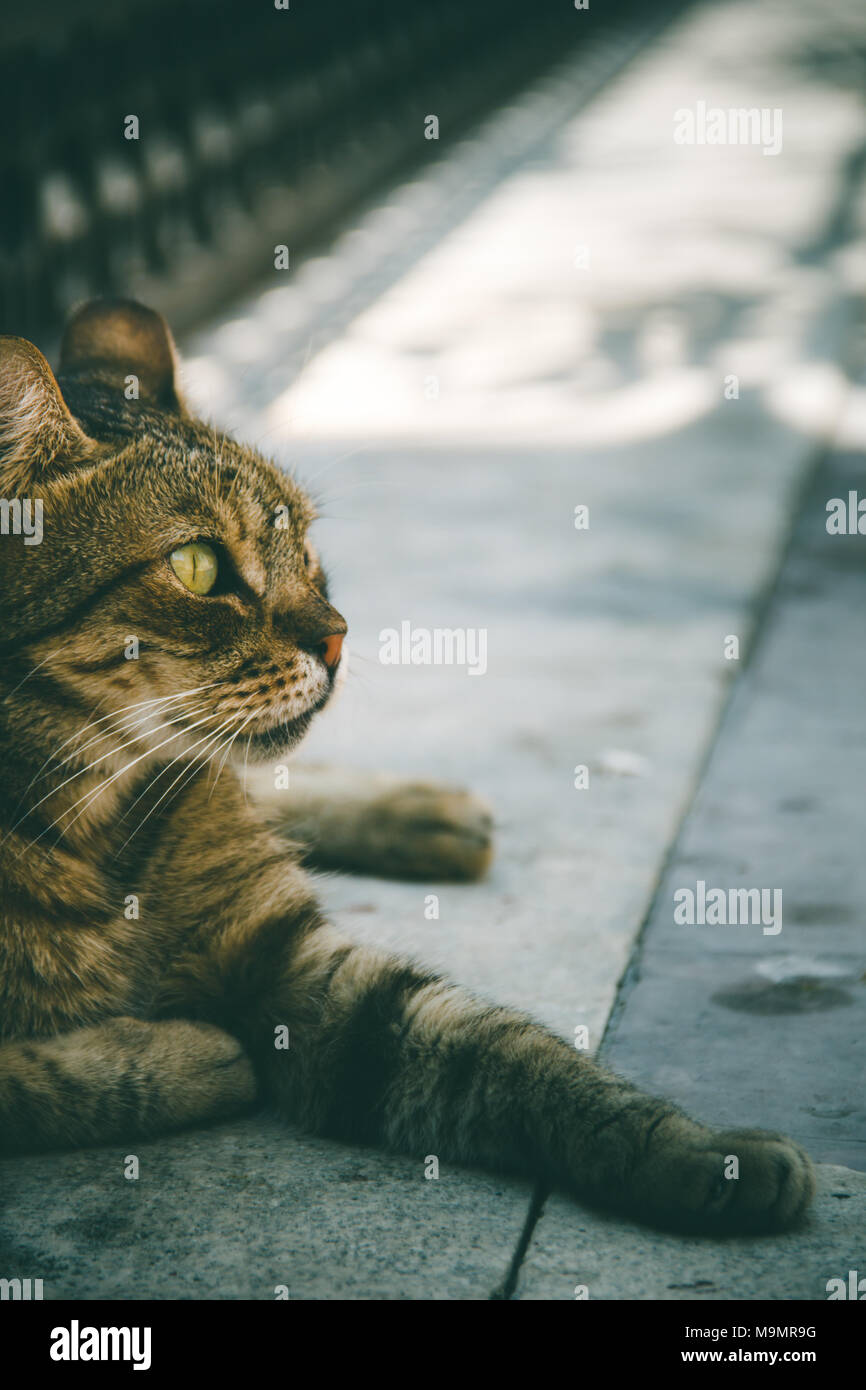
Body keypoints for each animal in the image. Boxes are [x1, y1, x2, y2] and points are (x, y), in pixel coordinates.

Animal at [0, 298, 817, 1234]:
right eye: (198, 567)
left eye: (305, 545)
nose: (339, 638)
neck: (100, 825)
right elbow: (41, 1083)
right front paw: (188, 1055)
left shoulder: (300, 965)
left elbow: (518, 1055)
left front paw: (699, 1150)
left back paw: (428, 813)